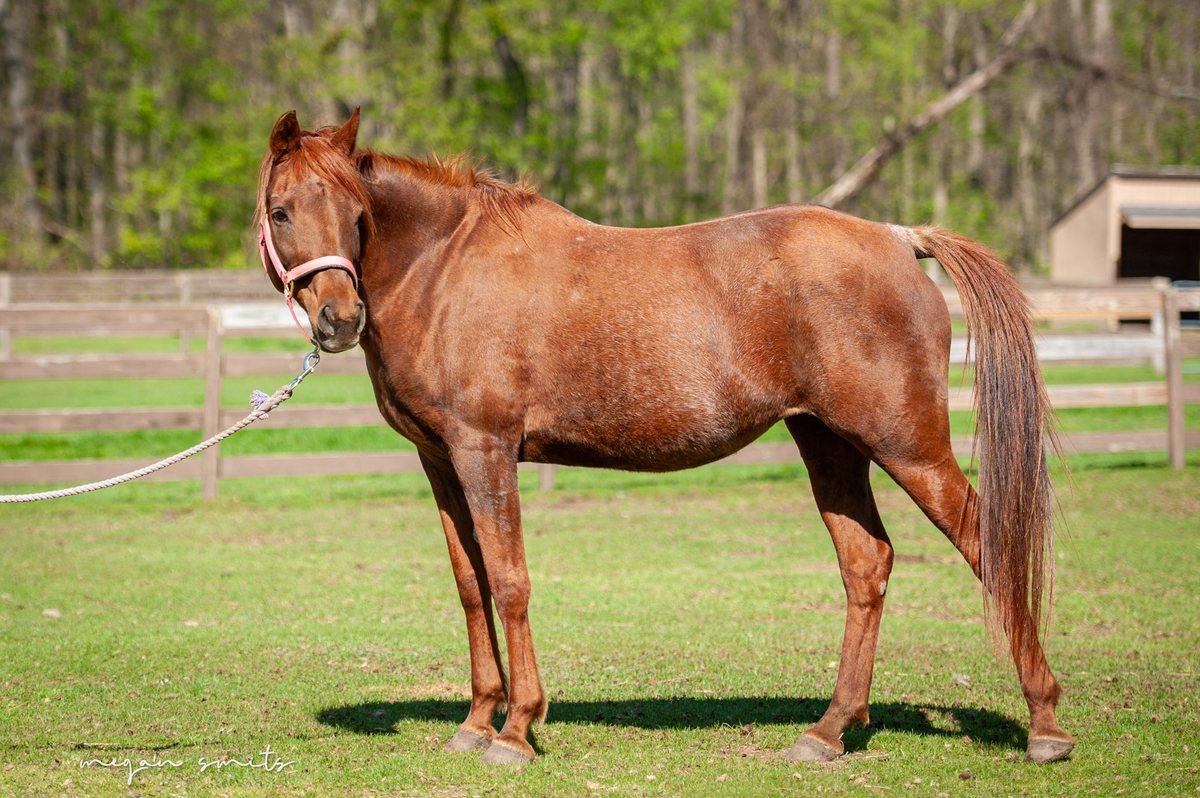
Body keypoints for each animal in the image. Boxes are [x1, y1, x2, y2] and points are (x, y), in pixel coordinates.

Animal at [256, 108, 1075, 766]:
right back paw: (827, 732)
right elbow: (471, 584)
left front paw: (516, 732)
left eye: (354, 211)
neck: (444, 266)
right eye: (282, 210)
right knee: (866, 565)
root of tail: (899, 241)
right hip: (827, 443)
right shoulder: (440, 460)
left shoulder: (485, 450)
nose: (339, 320)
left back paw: (1045, 725)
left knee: (987, 544)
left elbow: (512, 581)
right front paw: (476, 721)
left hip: (907, 447)